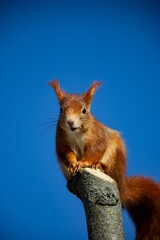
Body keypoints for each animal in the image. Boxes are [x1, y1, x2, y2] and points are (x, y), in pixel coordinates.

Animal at [48, 80, 160, 240]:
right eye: (61, 110)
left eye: (84, 110)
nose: (70, 122)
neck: (75, 133)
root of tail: (123, 188)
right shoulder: (61, 141)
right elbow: (66, 154)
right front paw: (73, 163)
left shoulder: (97, 137)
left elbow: (95, 151)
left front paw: (83, 163)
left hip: (114, 156)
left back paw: (98, 166)